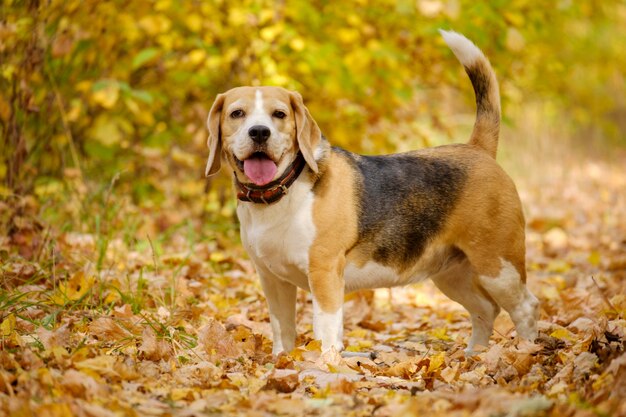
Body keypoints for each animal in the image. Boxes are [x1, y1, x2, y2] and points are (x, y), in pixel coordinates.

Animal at [204, 30, 536, 354]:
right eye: (237, 114)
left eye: (279, 114)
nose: (260, 132)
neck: (282, 193)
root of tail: (477, 149)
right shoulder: (272, 279)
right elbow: (283, 331)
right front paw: (283, 363)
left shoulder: (324, 273)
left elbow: (325, 333)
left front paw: (324, 365)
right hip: (451, 274)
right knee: (485, 310)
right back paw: (474, 355)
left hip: (498, 267)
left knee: (525, 307)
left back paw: (526, 349)